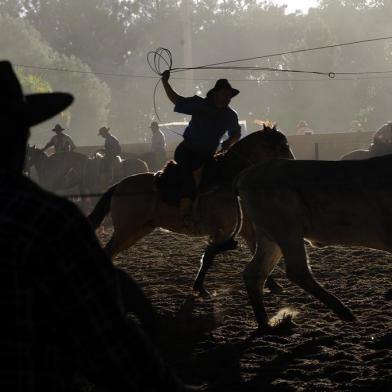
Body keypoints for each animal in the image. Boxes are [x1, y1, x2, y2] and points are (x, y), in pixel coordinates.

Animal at [86, 125, 294, 298]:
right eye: (283, 146)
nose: (292, 165)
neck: (226, 179)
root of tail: (119, 185)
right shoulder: (222, 231)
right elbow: (208, 258)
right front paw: (200, 288)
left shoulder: (244, 229)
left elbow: (255, 252)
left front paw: (274, 285)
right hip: (126, 230)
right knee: (109, 251)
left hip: (138, 230)